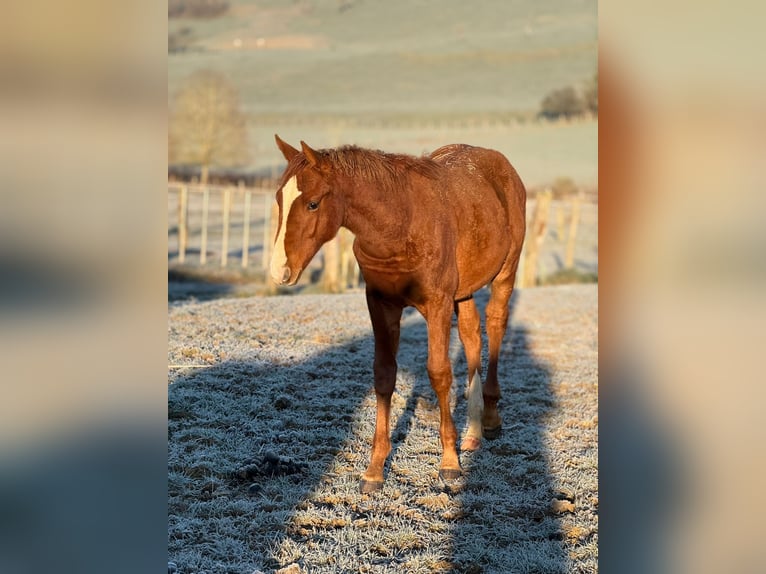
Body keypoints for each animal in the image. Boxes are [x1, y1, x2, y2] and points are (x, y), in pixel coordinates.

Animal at [270, 135, 526, 493]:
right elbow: (383, 375)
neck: (400, 224)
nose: (279, 271)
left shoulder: (437, 304)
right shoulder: (380, 304)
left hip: (505, 274)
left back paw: (488, 418)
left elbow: (439, 372)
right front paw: (375, 468)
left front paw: (449, 462)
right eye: (279, 199)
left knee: (496, 325)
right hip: (465, 291)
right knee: (472, 334)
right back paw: (473, 431)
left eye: (312, 204)